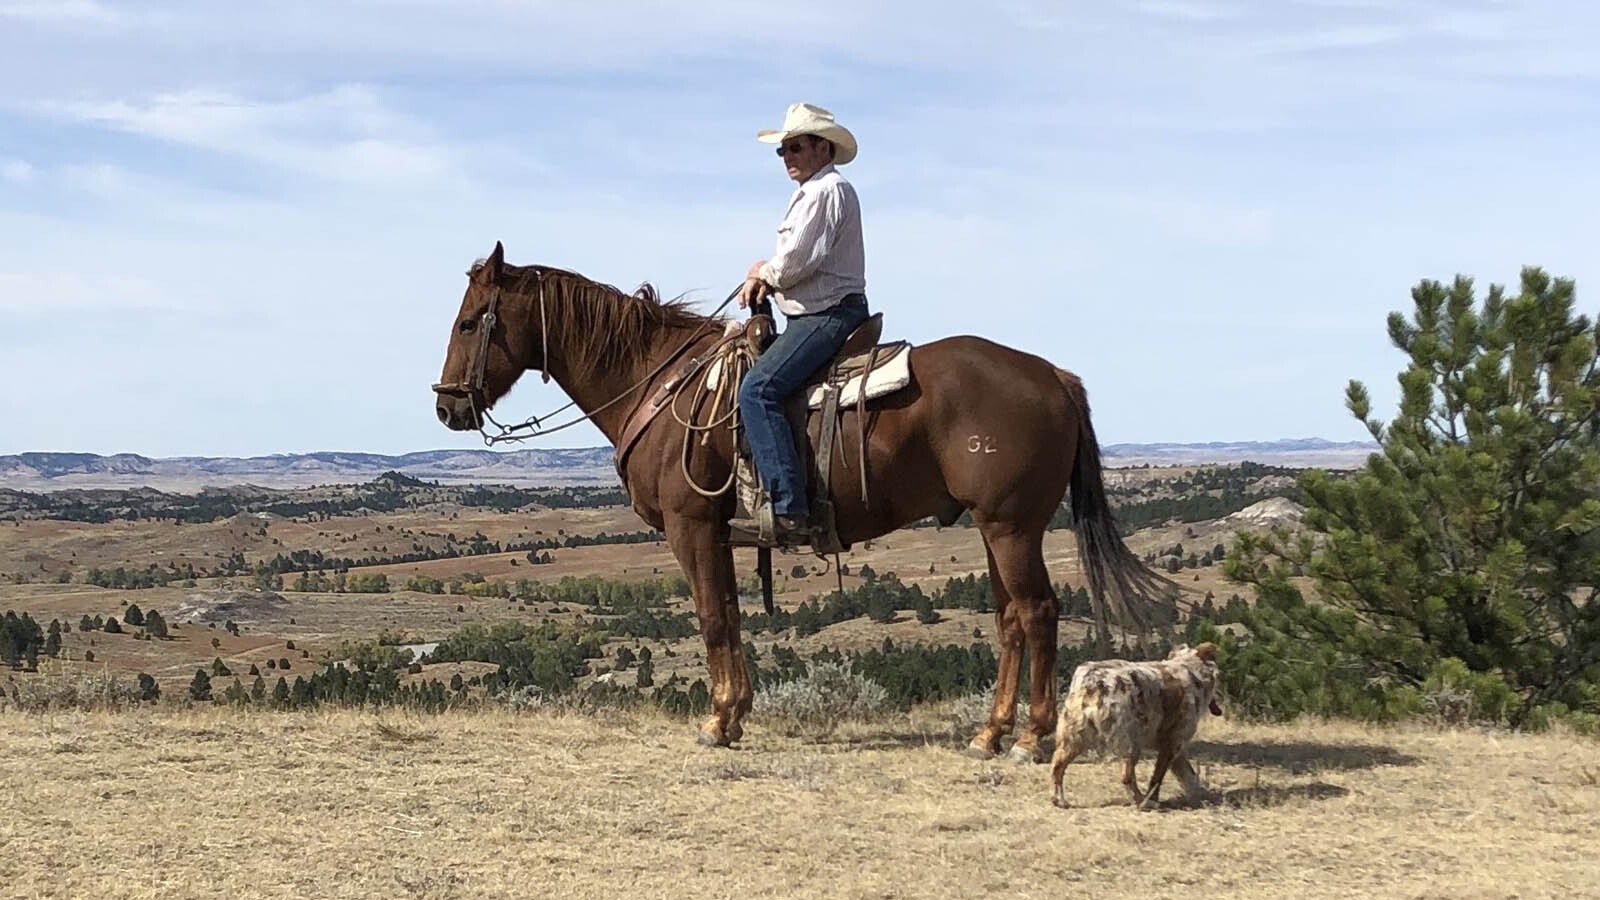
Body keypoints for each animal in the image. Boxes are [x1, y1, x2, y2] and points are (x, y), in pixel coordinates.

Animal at [432, 240, 1171, 755]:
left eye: (470, 323)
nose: (447, 407)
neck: (657, 382)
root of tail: (1054, 375)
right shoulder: (719, 534)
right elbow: (730, 616)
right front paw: (736, 713)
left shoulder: (690, 525)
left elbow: (713, 619)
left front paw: (717, 721)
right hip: (996, 528)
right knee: (1012, 619)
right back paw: (989, 733)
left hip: (1013, 526)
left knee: (1039, 613)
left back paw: (1030, 738)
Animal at [1049, 640, 1222, 810]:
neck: (1190, 670)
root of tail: (1094, 680)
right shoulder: (1173, 743)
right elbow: (1158, 778)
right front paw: (1153, 798)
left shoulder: (1175, 747)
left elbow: (1189, 775)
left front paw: (1200, 795)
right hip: (1129, 743)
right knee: (1127, 776)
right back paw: (1142, 802)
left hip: (1073, 738)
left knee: (1057, 767)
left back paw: (1059, 800)